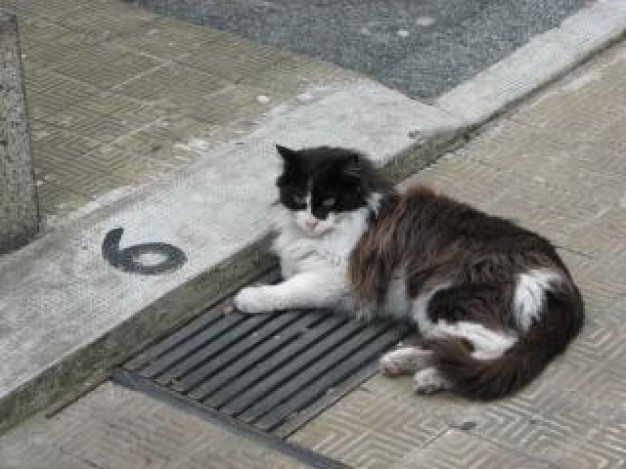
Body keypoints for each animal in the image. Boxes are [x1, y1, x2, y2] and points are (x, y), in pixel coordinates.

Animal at [232, 144, 584, 398]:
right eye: (297, 198)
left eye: (329, 201)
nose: (310, 222)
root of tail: (559, 278)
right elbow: (289, 272)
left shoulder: (341, 280)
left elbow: (291, 288)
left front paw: (251, 297)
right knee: (457, 346)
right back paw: (407, 363)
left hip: (446, 296)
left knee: (492, 346)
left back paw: (430, 375)